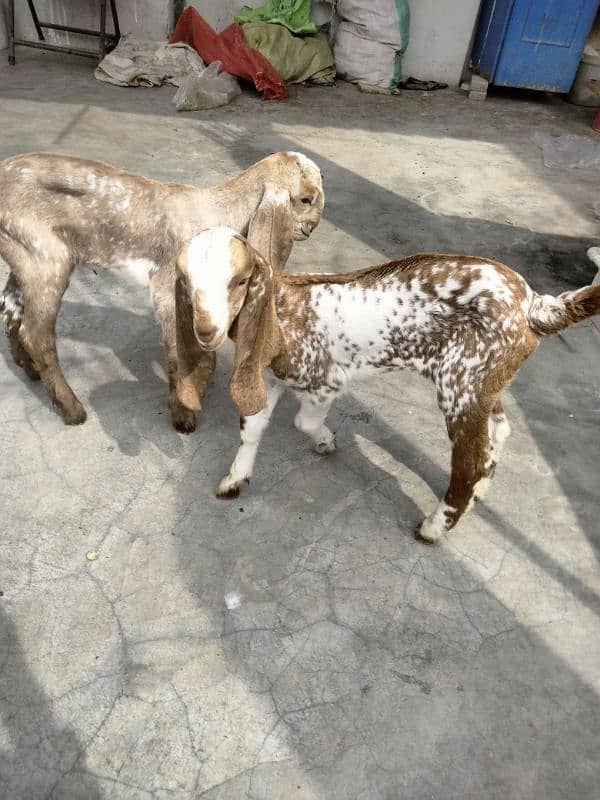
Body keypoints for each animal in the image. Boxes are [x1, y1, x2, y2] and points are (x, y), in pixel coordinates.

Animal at [0, 150, 324, 432]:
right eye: (305, 199)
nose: (310, 230)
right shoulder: (170, 286)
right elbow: (180, 351)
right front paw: (183, 415)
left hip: (23, 255)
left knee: (10, 309)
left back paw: (29, 370)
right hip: (47, 258)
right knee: (36, 333)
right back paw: (72, 409)